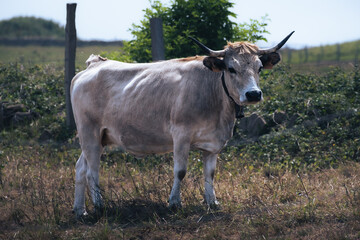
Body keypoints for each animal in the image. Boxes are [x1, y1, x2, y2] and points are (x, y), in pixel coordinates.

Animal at [71, 31, 296, 218]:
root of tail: (95, 64)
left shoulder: (213, 142)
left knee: (81, 168)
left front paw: (212, 202)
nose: (253, 94)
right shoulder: (181, 135)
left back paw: (80, 210)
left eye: (259, 68)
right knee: (92, 171)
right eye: (231, 68)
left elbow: (210, 173)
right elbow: (180, 171)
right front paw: (174, 203)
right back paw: (99, 206)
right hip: (89, 132)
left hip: (99, 137)